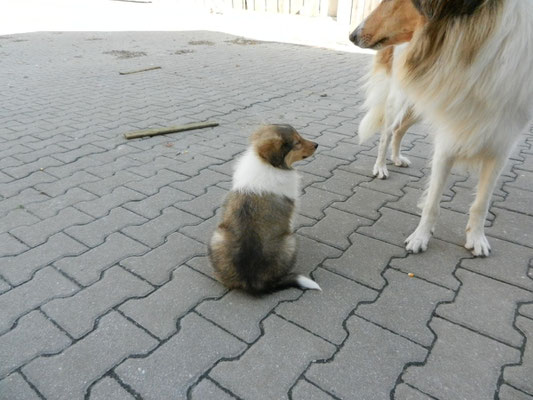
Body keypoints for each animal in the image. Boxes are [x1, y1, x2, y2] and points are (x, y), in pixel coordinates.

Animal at [208, 124, 320, 294]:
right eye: (297, 143)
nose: (316, 145)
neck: (266, 163)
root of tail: (254, 282)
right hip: (290, 241)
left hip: (217, 236)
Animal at [350, 0, 532, 256]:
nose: (352, 35)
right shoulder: (448, 138)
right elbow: (432, 202)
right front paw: (420, 237)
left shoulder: (501, 143)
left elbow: (482, 203)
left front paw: (476, 237)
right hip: (399, 98)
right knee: (387, 133)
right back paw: (381, 166)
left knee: (399, 130)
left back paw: (396, 158)